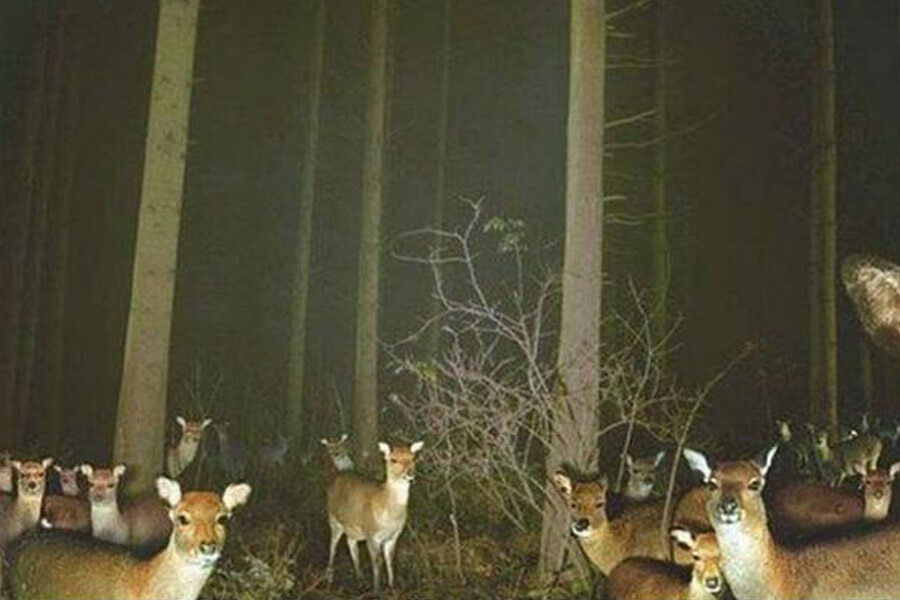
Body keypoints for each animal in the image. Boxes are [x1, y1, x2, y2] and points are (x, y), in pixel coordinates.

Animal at [326, 441, 423, 594]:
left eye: (413, 458)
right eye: (393, 459)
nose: (410, 473)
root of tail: (338, 474)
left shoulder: (394, 535)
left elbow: (390, 559)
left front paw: (392, 587)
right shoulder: (372, 534)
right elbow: (377, 561)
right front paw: (377, 591)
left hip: (353, 527)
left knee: (351, 543)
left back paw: (360, 579)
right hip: (333, 518)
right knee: (333, 545)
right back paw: (329, 579)